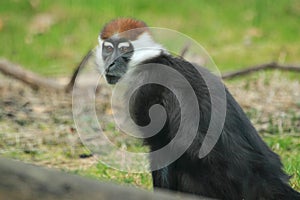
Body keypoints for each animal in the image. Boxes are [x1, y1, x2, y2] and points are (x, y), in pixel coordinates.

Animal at [95, 18, 298, 199]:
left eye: (124, 50)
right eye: (108, 49)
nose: (111, 63)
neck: (149, 61)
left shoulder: (147, 94)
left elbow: (162, 146)